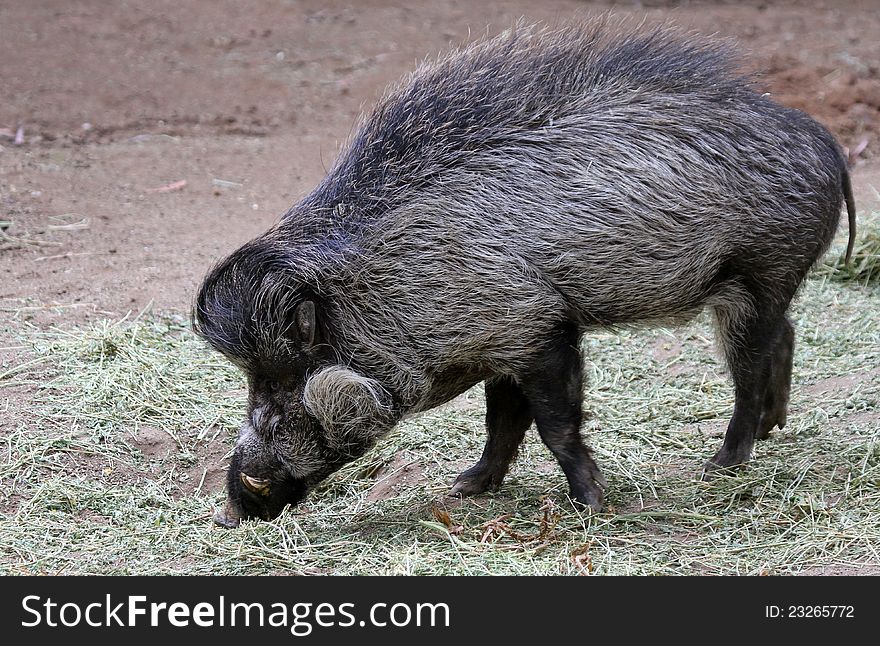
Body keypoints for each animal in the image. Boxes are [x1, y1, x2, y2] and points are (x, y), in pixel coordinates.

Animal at [191, 20, 852, 528]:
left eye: (280, 400)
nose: (229, 512)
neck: (385, 286)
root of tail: (822, 139)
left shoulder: (539, 333)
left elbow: (554, 425)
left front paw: (591, 505)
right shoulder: (500, 344)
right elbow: (502, 424)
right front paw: (466, 487)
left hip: (763, 274)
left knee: (751, 368)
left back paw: (723, 465)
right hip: (747, 289)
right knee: (784, 338)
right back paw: (770, 431)